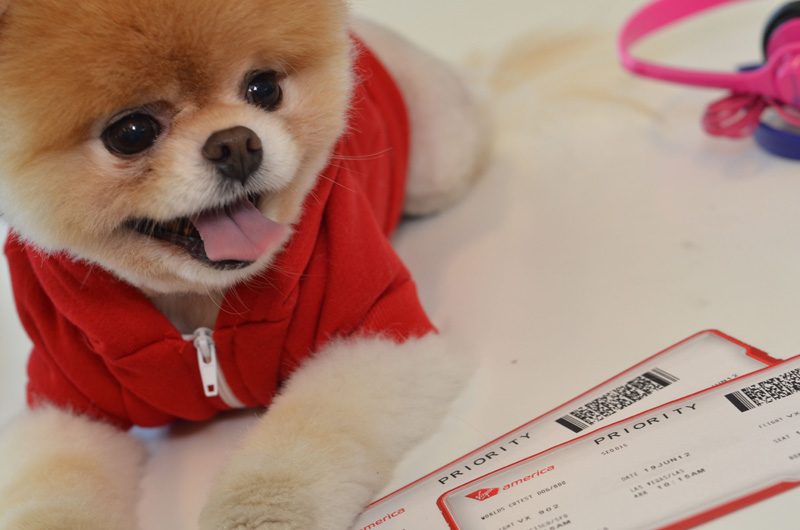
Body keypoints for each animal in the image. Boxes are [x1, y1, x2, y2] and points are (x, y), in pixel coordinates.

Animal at [0, 1, 484, 528]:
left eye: (264, 88)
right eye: (131, 133)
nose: (235, 143)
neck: (199, 314)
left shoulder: (376, 331)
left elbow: (297, 448)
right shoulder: (65, 394)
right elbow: (51, 492)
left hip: (438, 161)